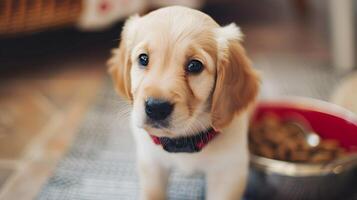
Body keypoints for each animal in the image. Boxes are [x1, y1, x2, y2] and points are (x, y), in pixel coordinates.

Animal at [108, 6, 258, 200]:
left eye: (194, 65)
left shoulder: (229, 172)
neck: (182, 141)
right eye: (143, 58)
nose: (156, 108)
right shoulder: (151, 164)